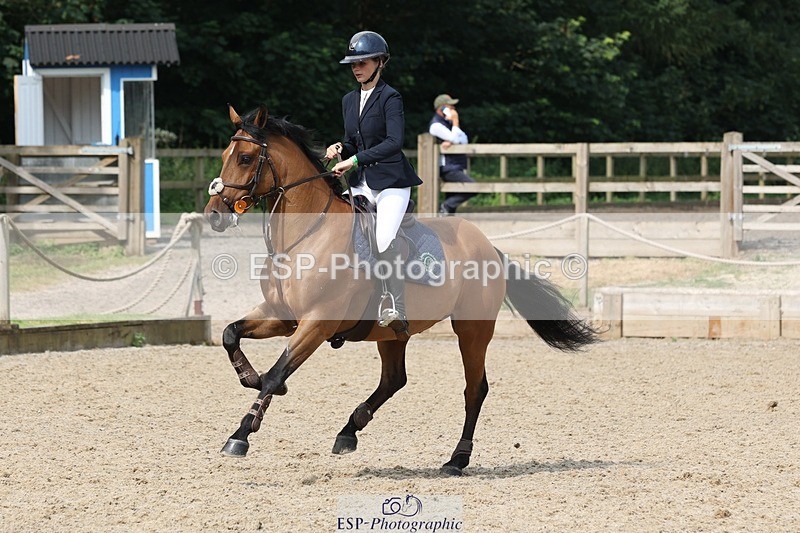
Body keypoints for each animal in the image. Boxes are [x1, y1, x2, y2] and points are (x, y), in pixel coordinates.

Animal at [203, 104, 598, 476]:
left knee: (474, 389)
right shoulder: (282, 316)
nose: (213, 215)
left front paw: (241, 434)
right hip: (392, 333)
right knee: (395, 379)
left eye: (245, 158)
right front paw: (249, 378)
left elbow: (277, 373)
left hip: (472, 329)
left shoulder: (317, 323)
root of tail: (489, 247)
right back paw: (350, 430)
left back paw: (457, 459)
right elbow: (230, 335)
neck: (306, 236)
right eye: (224, 154)